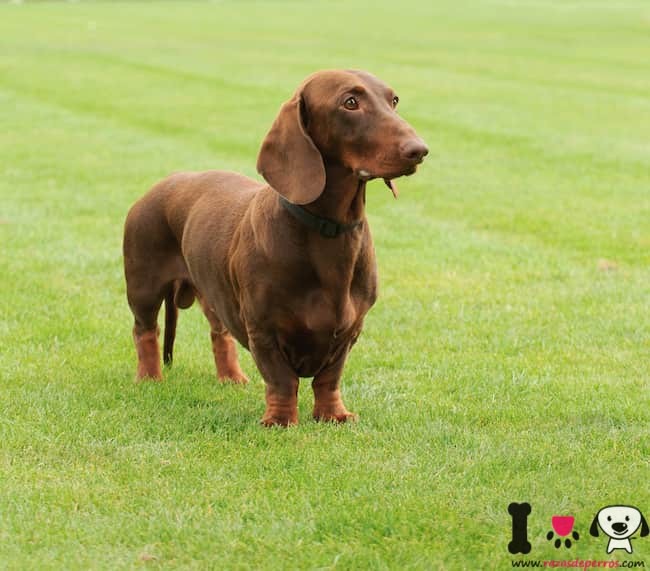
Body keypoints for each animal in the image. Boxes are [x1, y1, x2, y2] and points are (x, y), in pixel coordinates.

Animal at [123, 70, 426, 424]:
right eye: (350, 102)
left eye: (394, 100)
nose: (420, 150)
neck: (329, 230)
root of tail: (162, 183)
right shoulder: (263, 330)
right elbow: (282, 380)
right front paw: (280, 420)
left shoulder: (350, 331)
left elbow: (329, 379)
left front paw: (333, 414)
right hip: (143, 287)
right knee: (145, 331)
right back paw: (149, 377)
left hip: (213, 292)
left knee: (219, 332)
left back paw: (231, 377)